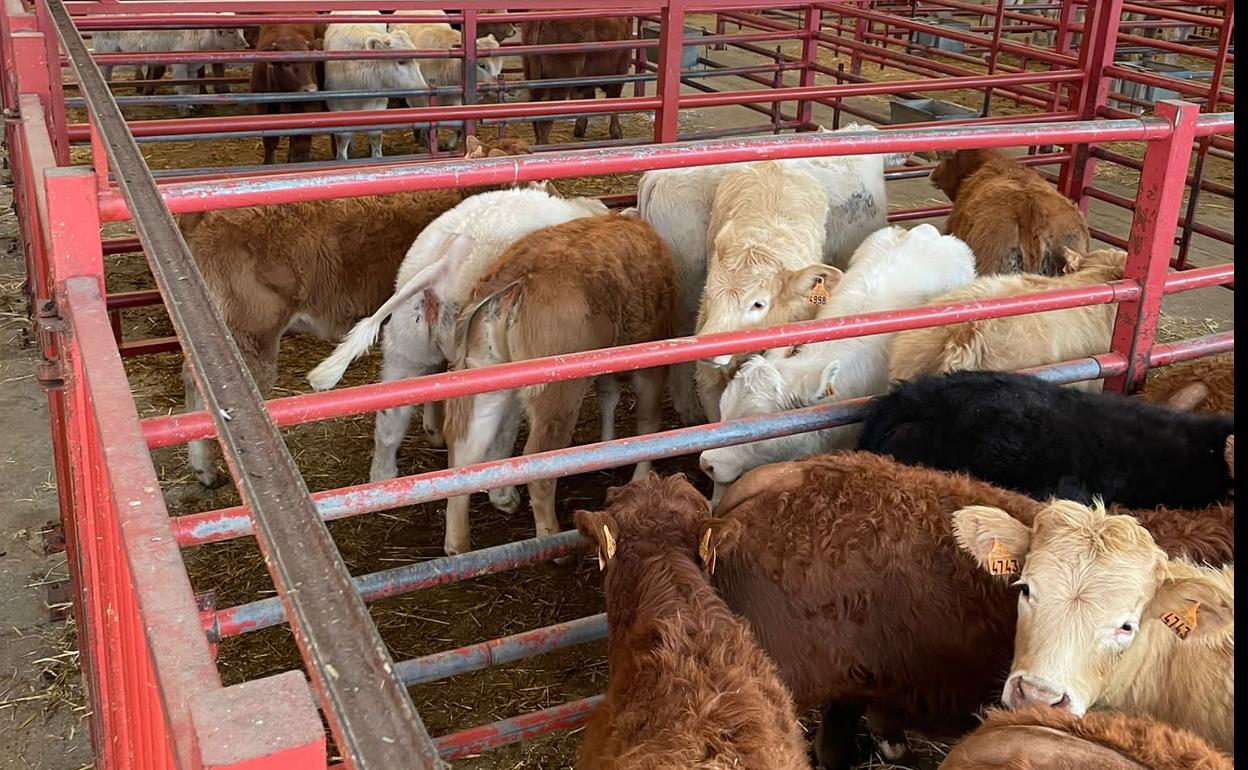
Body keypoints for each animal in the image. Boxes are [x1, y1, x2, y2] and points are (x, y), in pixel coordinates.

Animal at [439, 213, 673, 556]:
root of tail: (516, 276)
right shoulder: (652, 357)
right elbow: (649, 421)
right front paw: (641, 478)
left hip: (484, 378)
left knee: (465, 451)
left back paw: (457, 544)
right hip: (557, 394)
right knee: (540, 462)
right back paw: (552, 539)